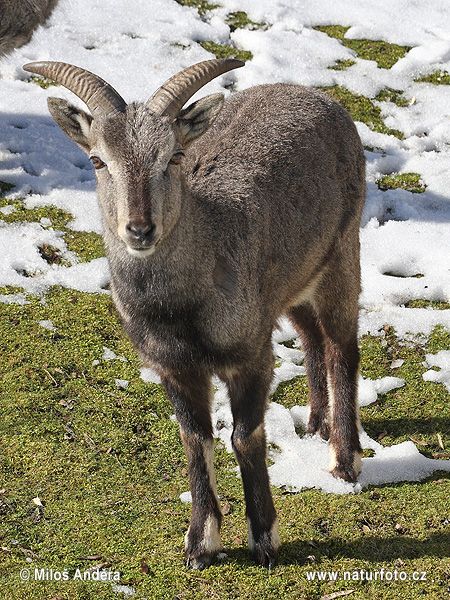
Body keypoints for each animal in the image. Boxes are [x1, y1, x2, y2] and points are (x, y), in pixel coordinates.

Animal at [23, 58, 366, 568]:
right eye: (97, 160)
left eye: (174, 156)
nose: (139, 229)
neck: (181, 310)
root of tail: (317, 96)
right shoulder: (174, 367)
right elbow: (195, 439)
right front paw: (200, 544)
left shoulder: (250, 352)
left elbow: (244, 435)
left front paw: (265, 538)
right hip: (294, 281)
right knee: (310, 336)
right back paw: (316, 424)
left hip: (341, 251)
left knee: (342, 345)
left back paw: (344, 459)